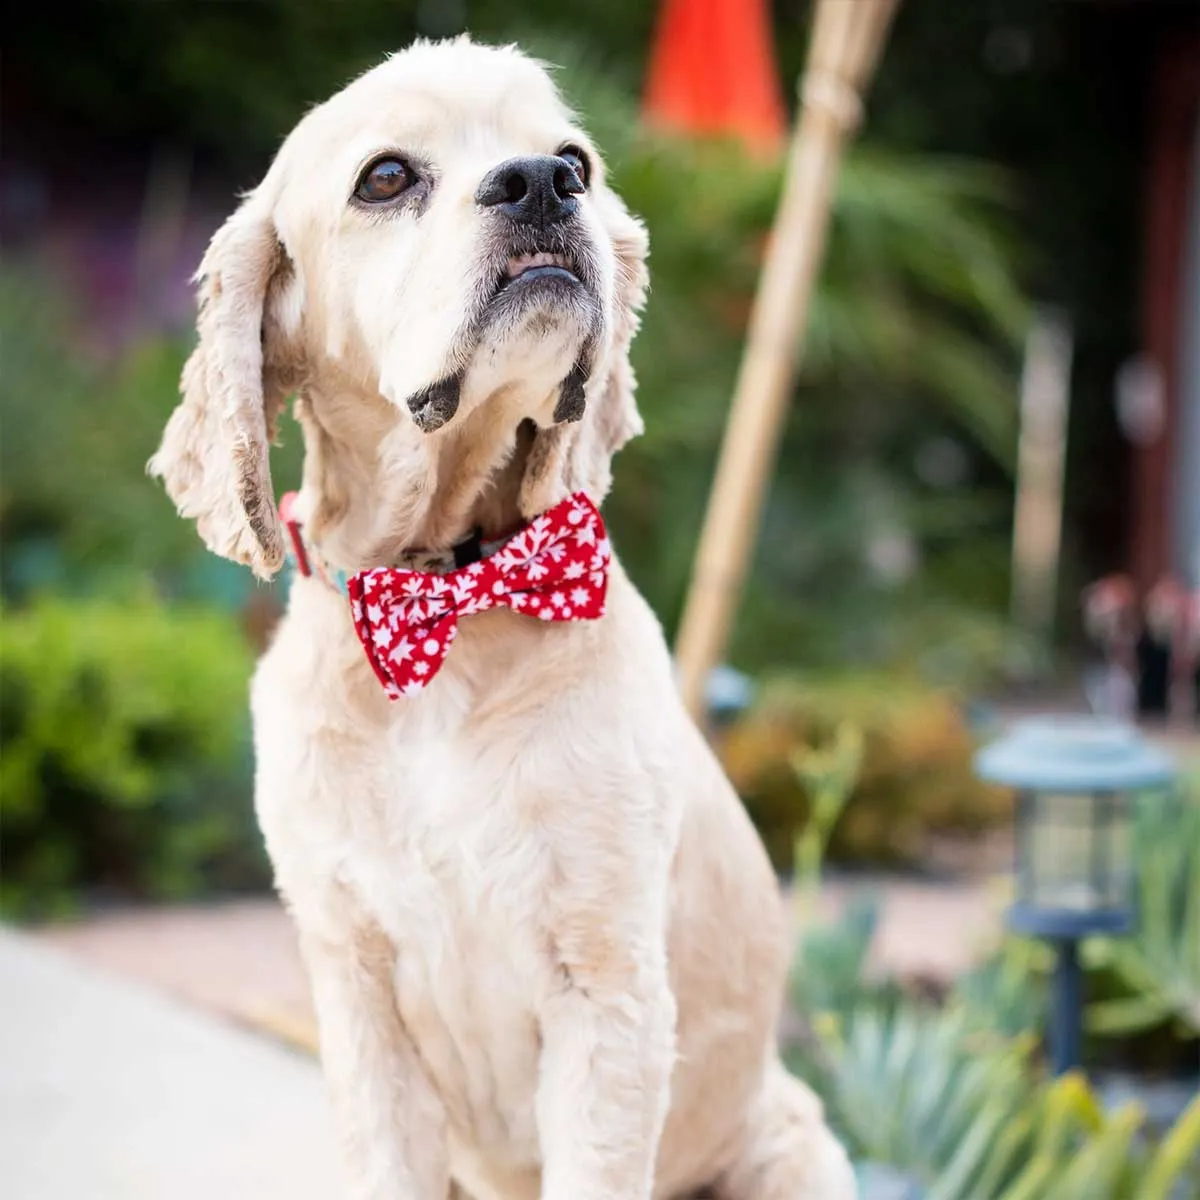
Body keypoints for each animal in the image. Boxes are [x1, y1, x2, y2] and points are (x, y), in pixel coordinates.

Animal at [150, 35, 854, 1200]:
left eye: (576, 158)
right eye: (386, 176)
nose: (538, 184)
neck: (449, 597)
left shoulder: (608, 990)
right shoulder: (355, 989)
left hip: (791, 1144)